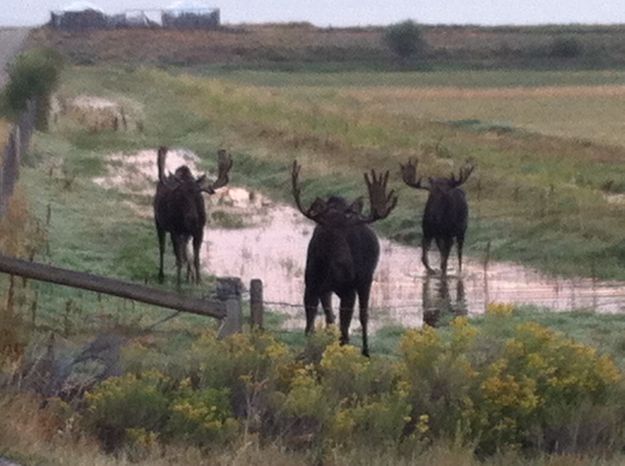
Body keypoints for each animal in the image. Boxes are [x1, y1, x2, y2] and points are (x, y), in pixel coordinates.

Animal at [292, 160, 398, 356]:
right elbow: (309, 328)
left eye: (347, 232)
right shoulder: (310, 286)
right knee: (330, 316)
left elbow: (344, 332)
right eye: (327, 231)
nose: (344, 262)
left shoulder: (349, 290)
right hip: (327, 290)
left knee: (363, 315)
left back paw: (365, 350)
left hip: (365, 280)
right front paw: (307, 352)